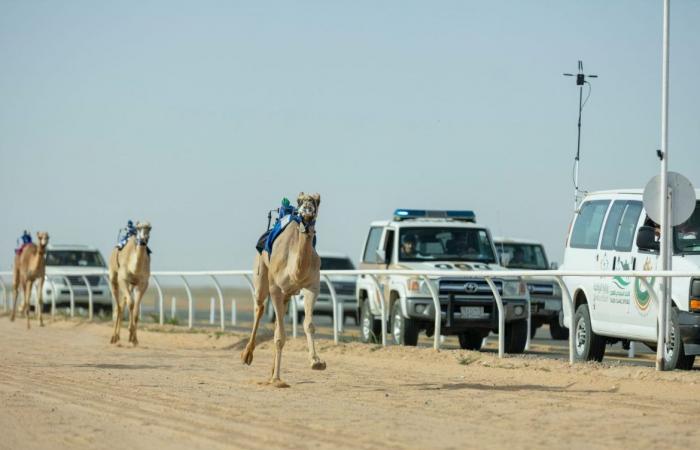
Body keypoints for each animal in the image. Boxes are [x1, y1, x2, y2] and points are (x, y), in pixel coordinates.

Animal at [241, 192, 326, 384]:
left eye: (317, 201)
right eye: (300, 201)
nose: (307, 209)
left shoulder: (312, 286)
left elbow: (308, 324)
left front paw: (316, 362)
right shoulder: (275, 288)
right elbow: (280, 336)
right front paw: (277, 380)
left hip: (288, 294)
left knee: (277, 322)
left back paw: (272, 369)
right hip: (261, 275)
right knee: (259, 307)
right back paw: (247, 355)